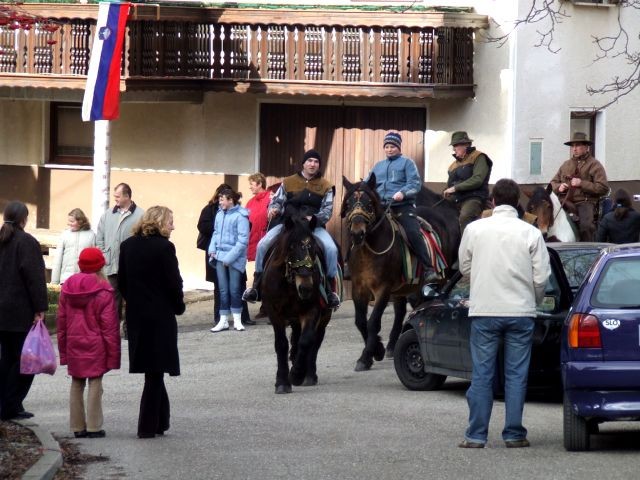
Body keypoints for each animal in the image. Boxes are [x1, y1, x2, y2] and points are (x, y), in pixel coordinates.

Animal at [260, 213, 336, 394]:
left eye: (313, 248)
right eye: (290, 247)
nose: (306, 287)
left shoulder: (313, 310)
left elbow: (306, 341)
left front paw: (296, 374)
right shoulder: (274, 312)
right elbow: (281, 344)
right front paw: (282, 382)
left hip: (324, 317)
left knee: (315, 341)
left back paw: (309, 375)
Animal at [340, 173, 460, 372]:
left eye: (368, 203)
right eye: (348, 203)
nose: (357, 233)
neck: (368, 250)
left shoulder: (383, 289)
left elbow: (373, 322)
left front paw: (367, 356)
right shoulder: (359, 288)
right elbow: (361, 322)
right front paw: (377, 350)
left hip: (441, 277)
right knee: (404, 309)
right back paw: (391, 346)